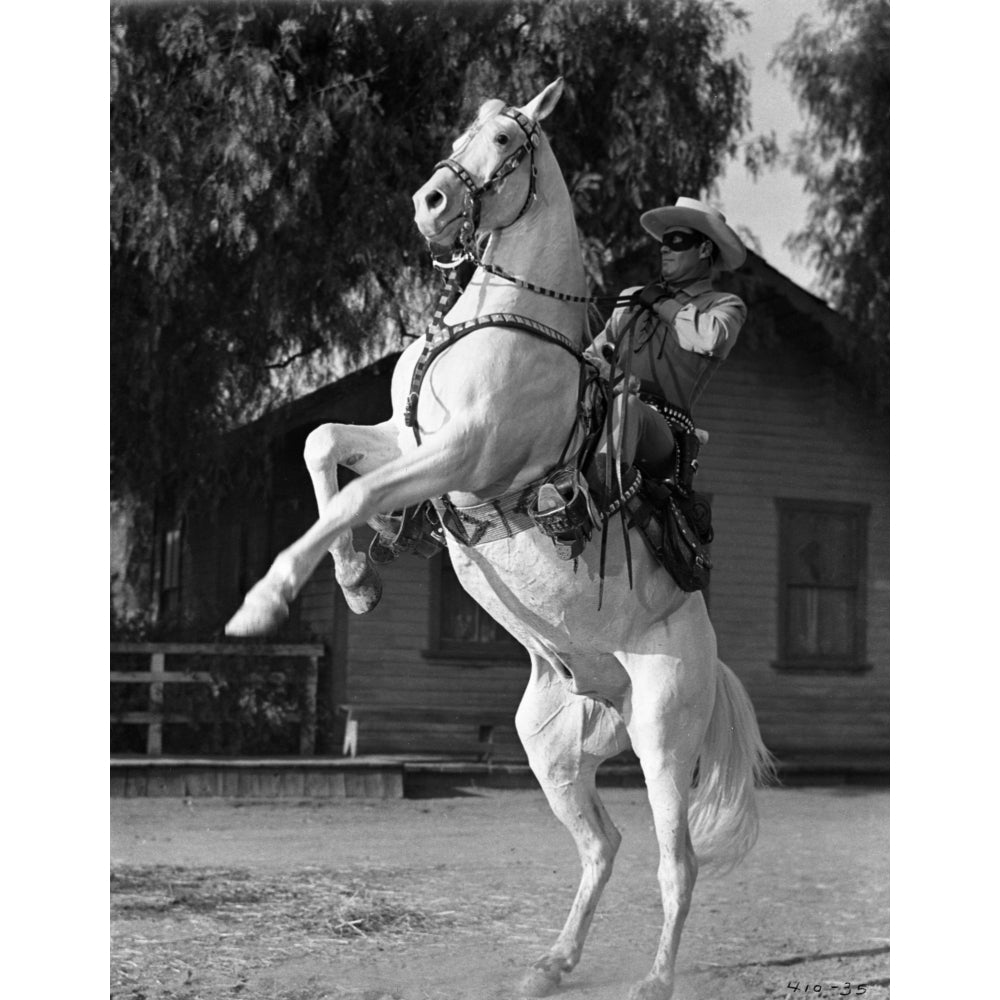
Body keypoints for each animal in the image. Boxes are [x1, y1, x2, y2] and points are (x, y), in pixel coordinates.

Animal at [229, 78, 772, 1000]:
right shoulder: (409, 440)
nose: (429, 203)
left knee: (676, 861)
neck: (506, 320)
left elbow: (354, 492)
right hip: (553, 748)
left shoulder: (462, 455)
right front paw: (358, 580)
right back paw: (552, 964)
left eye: (509, 143)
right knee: (603, 846)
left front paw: (264, 604)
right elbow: (326, 447)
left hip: (665, 738)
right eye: (460, 133)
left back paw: (654, 978)